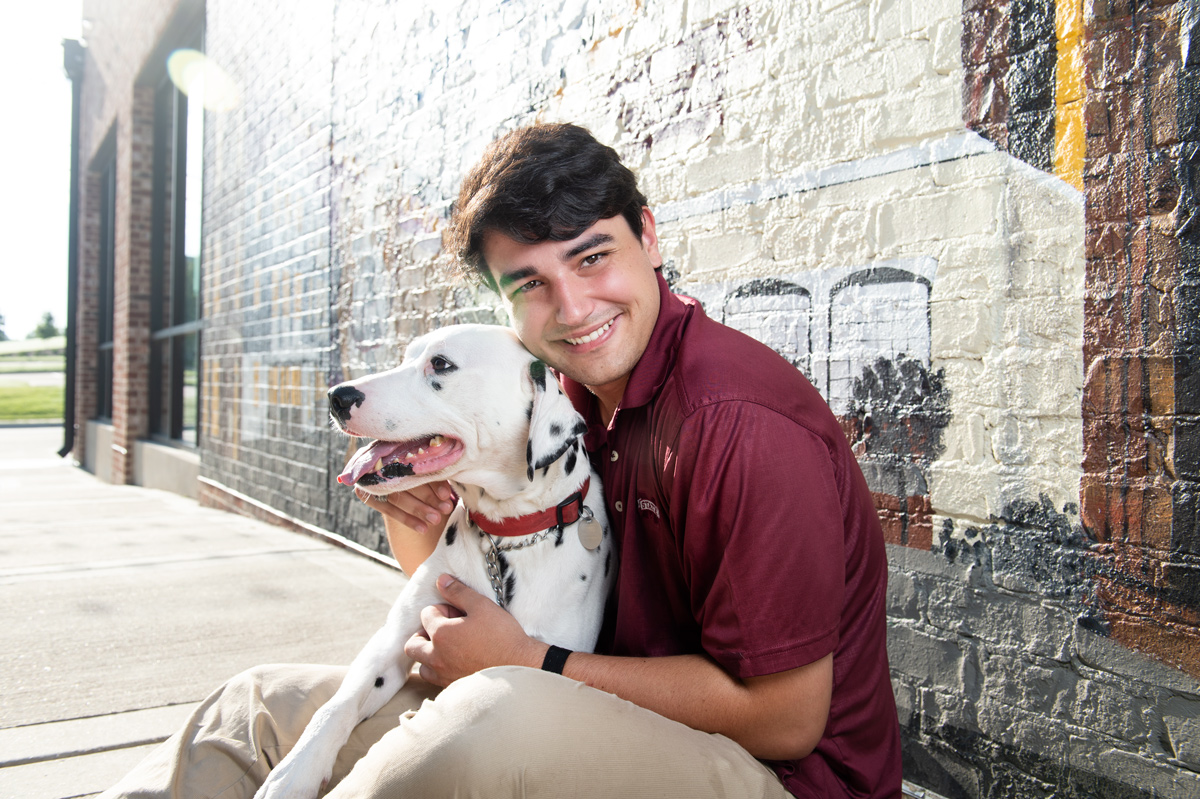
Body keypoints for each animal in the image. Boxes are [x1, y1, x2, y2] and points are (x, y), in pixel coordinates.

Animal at [250, 321, 609, 791]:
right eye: (405, 356)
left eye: (440, 364)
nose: (336, 396)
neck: (504, 540)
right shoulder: (392, 641)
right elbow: (336, 706)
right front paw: (292, 775)